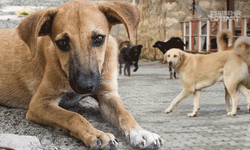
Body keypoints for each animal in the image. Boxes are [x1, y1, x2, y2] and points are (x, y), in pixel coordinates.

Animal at [0, 0, 163, 149]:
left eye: (99, 38)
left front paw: (141, 132)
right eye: (62, 43)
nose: (85, 86)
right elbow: (73, 116)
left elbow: (124, 113)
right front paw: (97, 134)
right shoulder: (39, 104)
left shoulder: (107, 93)